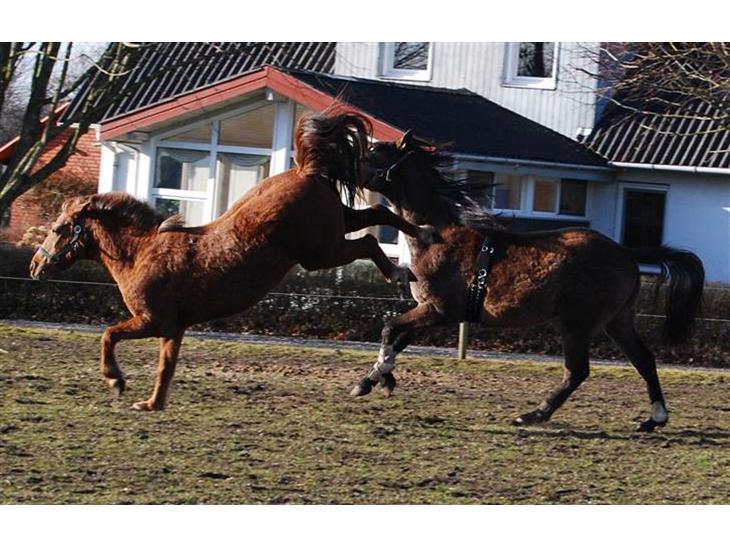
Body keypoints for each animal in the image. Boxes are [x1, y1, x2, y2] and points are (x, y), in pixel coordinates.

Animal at [28, 113, 437, 411]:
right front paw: (152, 404)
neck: (141, 255)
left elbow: (108, 335)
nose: (35, 266)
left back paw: (402, 268)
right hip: (337, 224)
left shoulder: (151, 321)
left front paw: (116, 381)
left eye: (59, 228)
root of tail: (304, 170)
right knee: (377, 216)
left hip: (321, 251)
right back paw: (424, 234)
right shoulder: (172, 329)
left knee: (368, 241)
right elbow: (165, 367)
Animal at [350, 130, 705, 433]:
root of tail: (625, 252)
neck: (435, 236)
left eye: (372, 151)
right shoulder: (428, 310)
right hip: (617, 320)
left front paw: (372, 380)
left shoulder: (438, 311)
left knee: (578, 370)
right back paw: (654, 418)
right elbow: (398, 338)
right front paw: (377, 379)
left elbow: (389, 329)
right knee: (643, 359)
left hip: (578, 322)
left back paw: (534, 414)